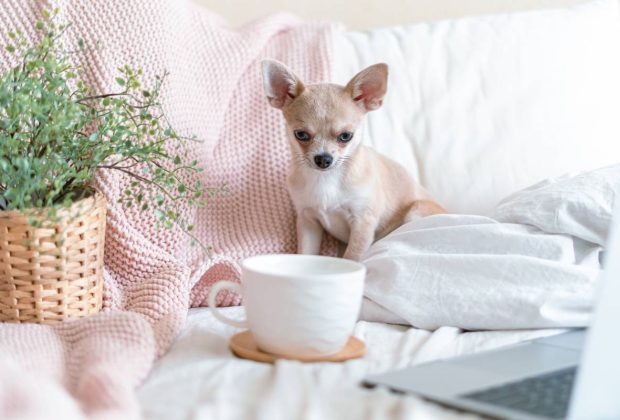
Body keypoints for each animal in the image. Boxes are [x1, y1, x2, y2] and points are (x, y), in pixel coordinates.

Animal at [262, 60, 446, 260]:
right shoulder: (308, 221)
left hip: (415, 211)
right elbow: (306, 253)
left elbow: (352, 257)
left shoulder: (362, 221)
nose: (323, 158)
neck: (326, 179)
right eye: (301, 135)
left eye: (345, 136)